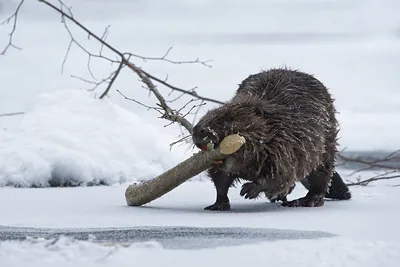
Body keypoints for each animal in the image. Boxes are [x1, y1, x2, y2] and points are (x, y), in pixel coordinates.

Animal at [192, 68, 352, 213]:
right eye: (209, 113)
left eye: (229, 119)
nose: (198, 130)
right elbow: (221, 177)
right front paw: (218, 204)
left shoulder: (288, 143)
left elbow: (282, 173)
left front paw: (249, 190)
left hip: (326, 144)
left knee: (320, 176)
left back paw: (305, 201)